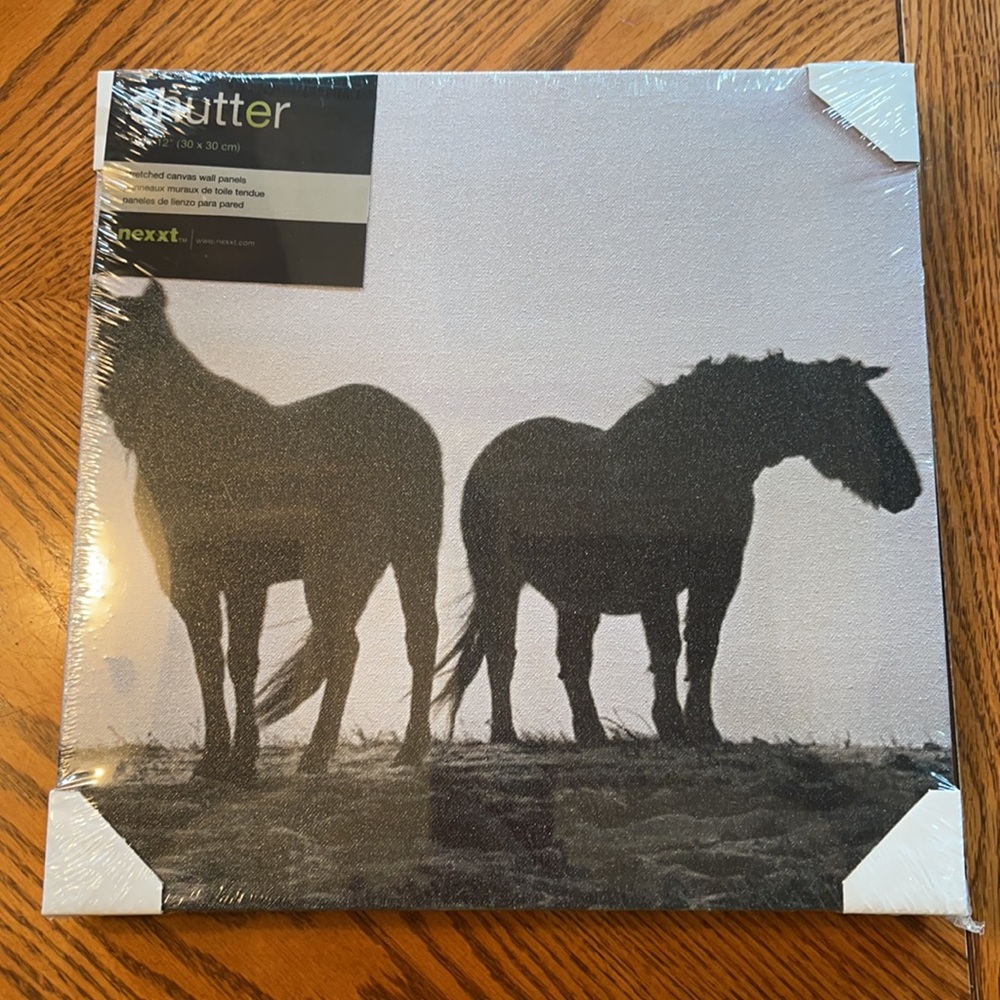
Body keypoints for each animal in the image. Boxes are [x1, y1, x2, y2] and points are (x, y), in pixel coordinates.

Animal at [92, 279, 443, 780]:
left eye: (147, 343)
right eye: (103, 338)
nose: (119, 405)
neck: (197, 448)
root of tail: (411, 426)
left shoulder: (243, 581)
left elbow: (241, 661)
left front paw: (241, 757)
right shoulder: (193, 585)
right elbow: (209, 662)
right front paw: (216, 757)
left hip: (353, 568)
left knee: (355, 648)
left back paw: (328, 753)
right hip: (392, 561)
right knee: (413, 639)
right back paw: (403, 748)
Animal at [434, 353, 921, 748]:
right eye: (857, 413)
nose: (910, 486)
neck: (690, 462)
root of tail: (489, 456)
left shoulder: (718, 579)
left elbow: (703, 647)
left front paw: (703, 729)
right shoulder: (658, 584)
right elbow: (666, 649)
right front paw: (670, 725)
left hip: (576, 598)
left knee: (572, 660)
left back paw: (592, 734)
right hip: (499, 578)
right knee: (502, 651)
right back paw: (506, 733)